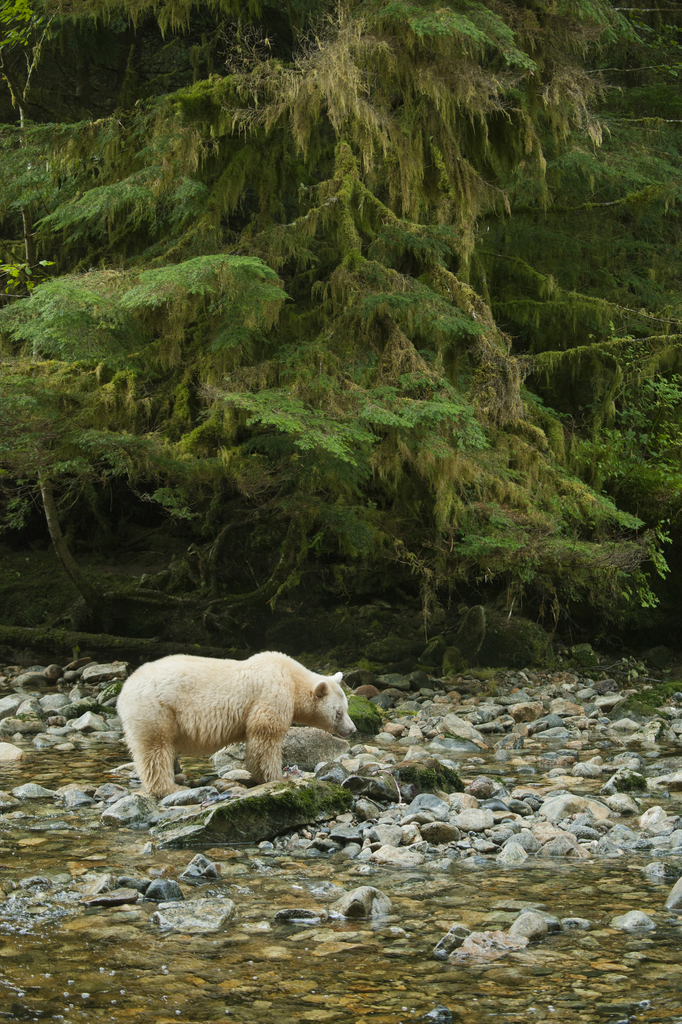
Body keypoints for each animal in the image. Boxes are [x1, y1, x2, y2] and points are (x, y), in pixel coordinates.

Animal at [115, 647, 356, 798]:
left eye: (346, 708)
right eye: (338, 713)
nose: (352, 729)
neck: (291, 677)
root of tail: (125, 689)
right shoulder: (271, 694)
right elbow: (265, 735)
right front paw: (278, 777)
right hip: (156, 708)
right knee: (155, 748)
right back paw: (168, 788)